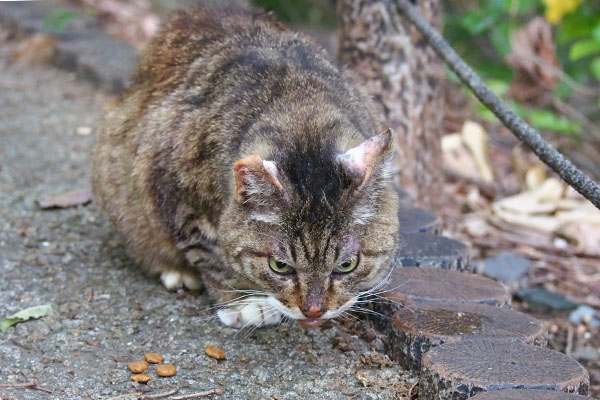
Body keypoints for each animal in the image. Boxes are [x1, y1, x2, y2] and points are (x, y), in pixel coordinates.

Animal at [91, 6, 400, 330]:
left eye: (346, 265)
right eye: (280, 266)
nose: (314, 311)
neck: (304, 117)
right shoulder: (174, 192)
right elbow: (212, 256)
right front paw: (245, 301)